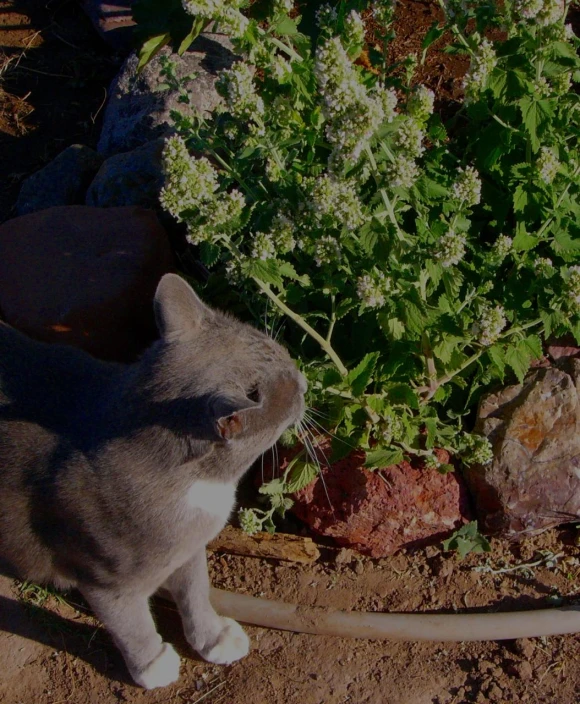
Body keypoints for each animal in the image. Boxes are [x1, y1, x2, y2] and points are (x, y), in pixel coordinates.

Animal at [0, 274, 308, 688]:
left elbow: (195, 591)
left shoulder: (189, 546)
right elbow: (130, 623)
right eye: (287, 391)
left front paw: (213, 637)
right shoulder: (104, 580)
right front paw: (152, 663)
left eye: (281, 352)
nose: (304, 380)